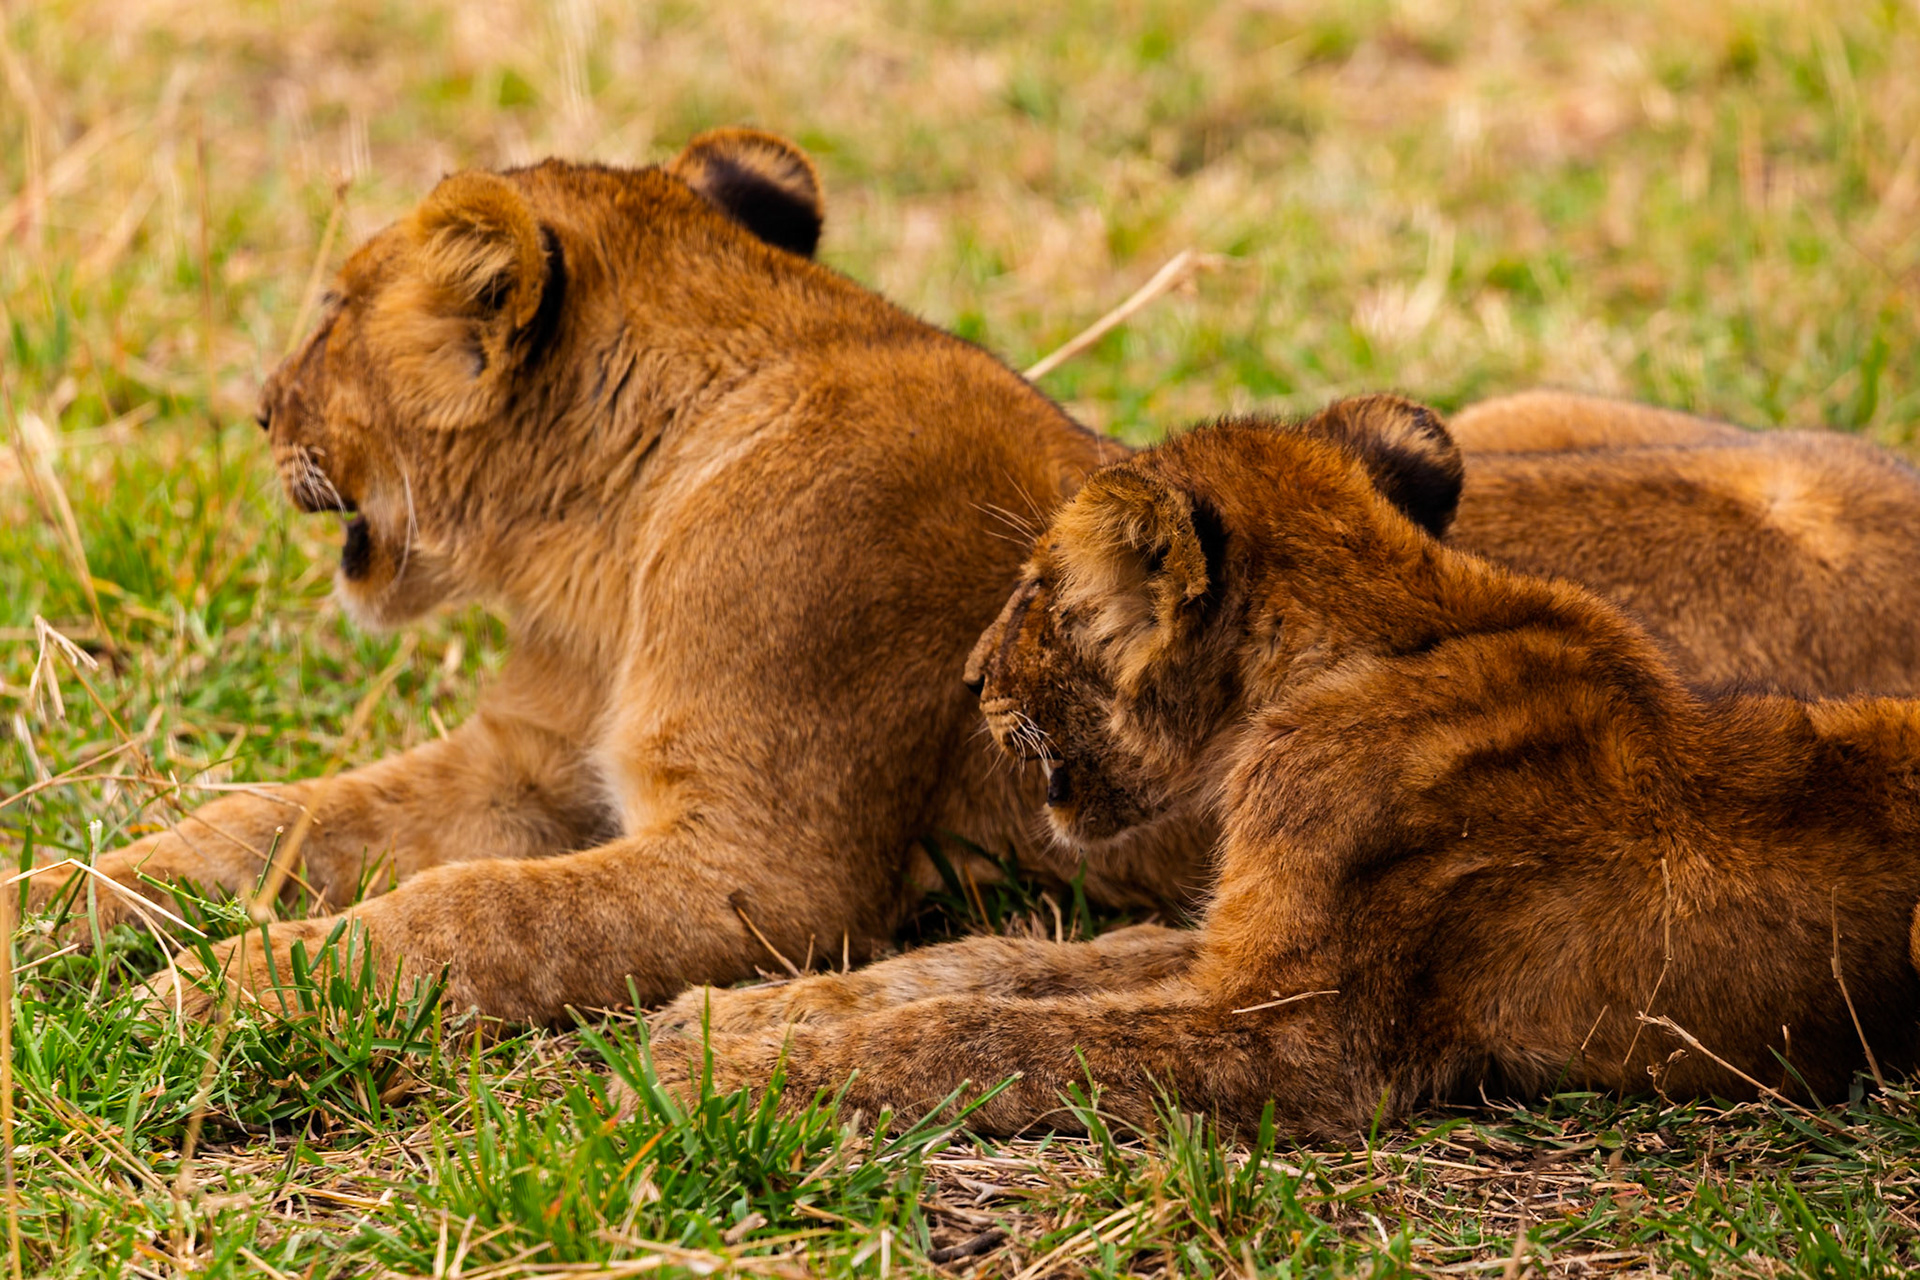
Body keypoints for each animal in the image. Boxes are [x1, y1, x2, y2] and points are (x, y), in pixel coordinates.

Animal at [22, 126, 1920, 1026]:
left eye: (329, 312)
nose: (252, 407)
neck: (606, 547)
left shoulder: (768, 878)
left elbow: (463, 916)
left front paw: (225, 1001)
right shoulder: (525, 764)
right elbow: (258, 827)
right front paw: (52, 915)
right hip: (1489, 421)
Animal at [652, 397, 1920, 1137]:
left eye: (1037, 596)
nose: (966, 680)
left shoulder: (1307, 1040)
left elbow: (1001, 1034)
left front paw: (726, 1075)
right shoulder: (1236, 947)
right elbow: (1009, 961)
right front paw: (736, 1014)